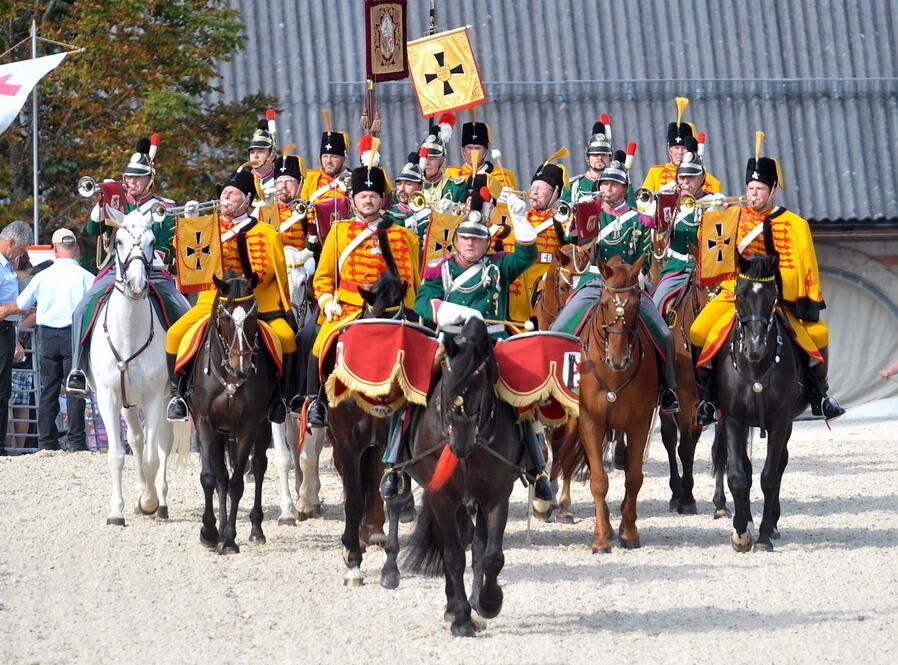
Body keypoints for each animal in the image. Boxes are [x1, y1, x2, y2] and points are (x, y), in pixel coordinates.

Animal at [88, 210, 176, 528]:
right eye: (119, 241)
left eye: (151, 242)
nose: (138, 286)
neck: (129, 333)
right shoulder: (108, 399)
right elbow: (117, 454)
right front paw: (117, 512)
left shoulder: (154, 399)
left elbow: (153, 457)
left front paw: (149, 502)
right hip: (128, 403)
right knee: (136, 441)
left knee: (162, 443)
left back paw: (160, 502)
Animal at [187, 268, 274, 548]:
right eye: (224, 317)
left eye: (254, 315)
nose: (242, 367)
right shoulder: (206, 423)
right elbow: (211, 477)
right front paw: (210, 532)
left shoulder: (248, 426)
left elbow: (237, 483)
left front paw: (229, 538)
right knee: (222, 476)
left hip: (263, 425)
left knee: (258, 466)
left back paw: (256, 529)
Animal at [400, 318, 520, 640]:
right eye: (446, 385)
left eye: (480, 386)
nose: (460, 445)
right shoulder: (441, 497)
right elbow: (453, 556)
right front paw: (461, 618)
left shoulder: (496, 496)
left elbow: (491, 555)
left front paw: (489, 601)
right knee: (449, 548)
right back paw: (455, 607)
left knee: (477, 547)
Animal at [712, 254, 808, 548]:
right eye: (739, 294)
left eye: (771, 296)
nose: (754, 348)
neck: (755, 369)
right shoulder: (733, 419)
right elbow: (738, 475)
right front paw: (741, 532)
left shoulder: (780, 421)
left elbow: (770, 476)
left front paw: (765, 534)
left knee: (779, 465)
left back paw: (771, 524)